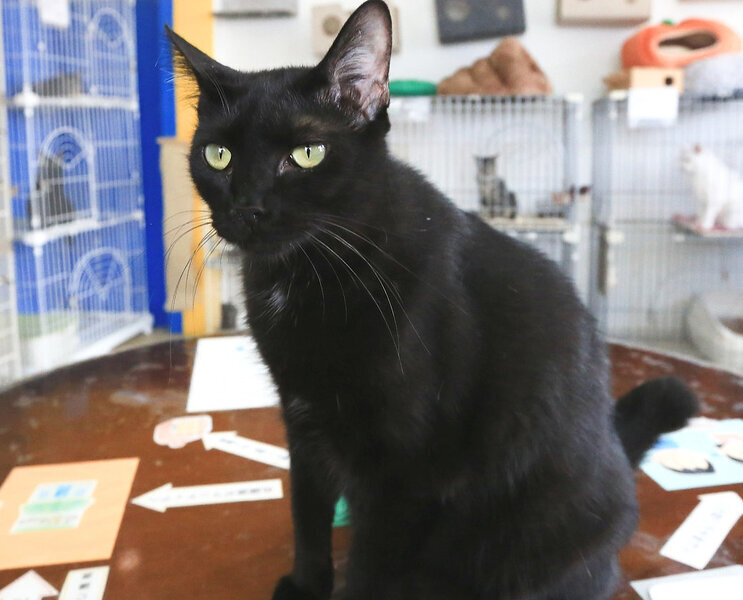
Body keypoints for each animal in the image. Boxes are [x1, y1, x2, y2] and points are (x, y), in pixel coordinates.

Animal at [167, 2, 697, 598]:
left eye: (307, 153)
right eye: (219, 155)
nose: (247, 208)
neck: (305, 275)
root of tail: (615, 451)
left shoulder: (402, 467)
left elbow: (371, 566)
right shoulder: (302, 419)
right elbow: (308, 513)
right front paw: (306, 584)